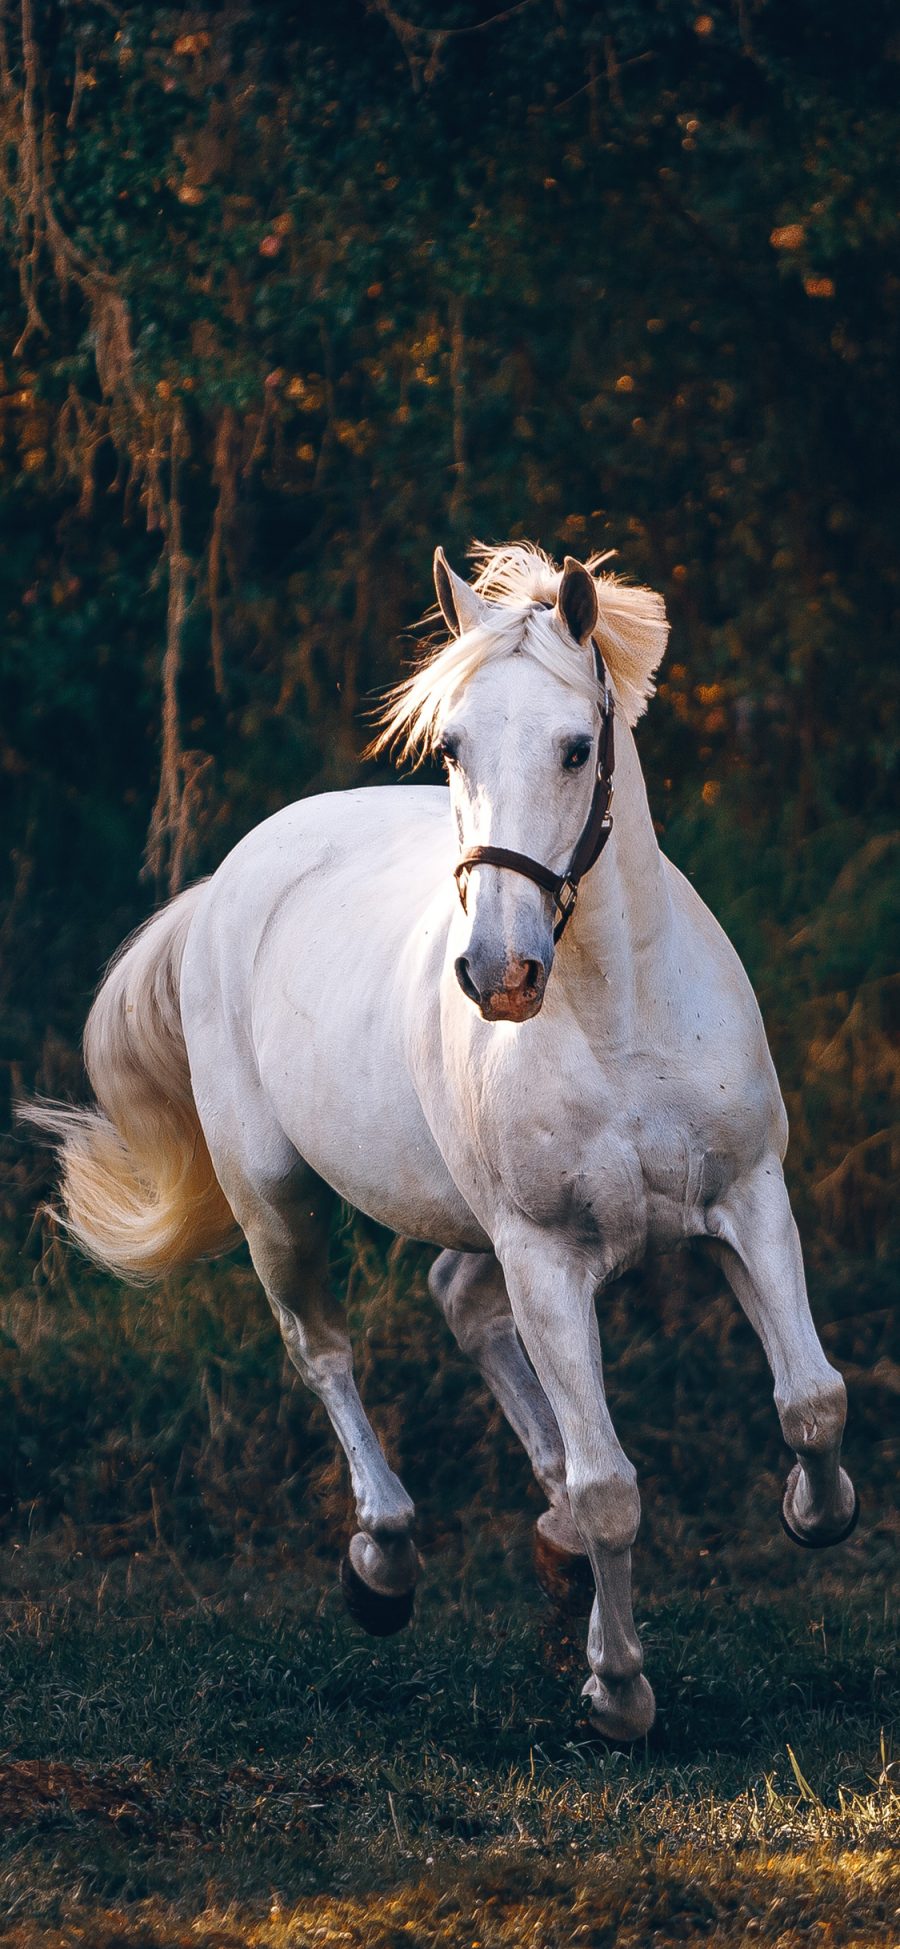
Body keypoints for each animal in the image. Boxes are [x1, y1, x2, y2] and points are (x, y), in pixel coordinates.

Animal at [29, 545, 857, 1738]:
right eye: (454, 745)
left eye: (576, 747)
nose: (497, 973)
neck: (619, 1017)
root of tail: (235, 875)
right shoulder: (546, 1253)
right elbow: (613, 1487)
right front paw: (618, 1688)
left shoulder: (748, 1199)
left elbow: (812, 1400)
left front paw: (807, 1509)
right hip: (277, 1199)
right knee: (324, 1350)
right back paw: (383, 1560)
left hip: (472, 1221)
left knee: (459, 1302)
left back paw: (545, 1540)